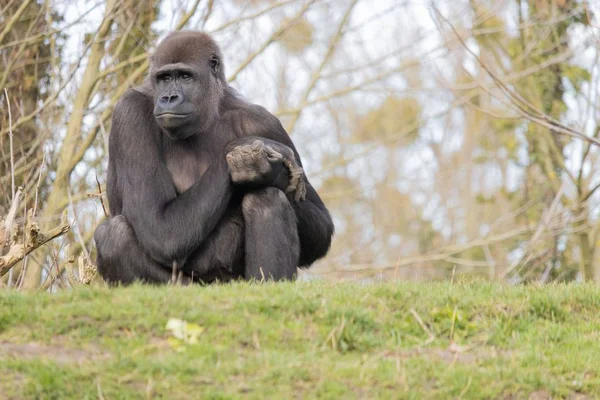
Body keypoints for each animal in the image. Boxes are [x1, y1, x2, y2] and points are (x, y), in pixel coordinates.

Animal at [96, 31, 336, 282]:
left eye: (185, 77)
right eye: (164, 78)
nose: (169, 97)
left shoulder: (265, 122)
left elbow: (321, 227)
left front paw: (267, 171)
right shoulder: (129, 113)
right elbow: (158, 227)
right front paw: (248, 155)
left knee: (265, 197)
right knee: (113, 235)